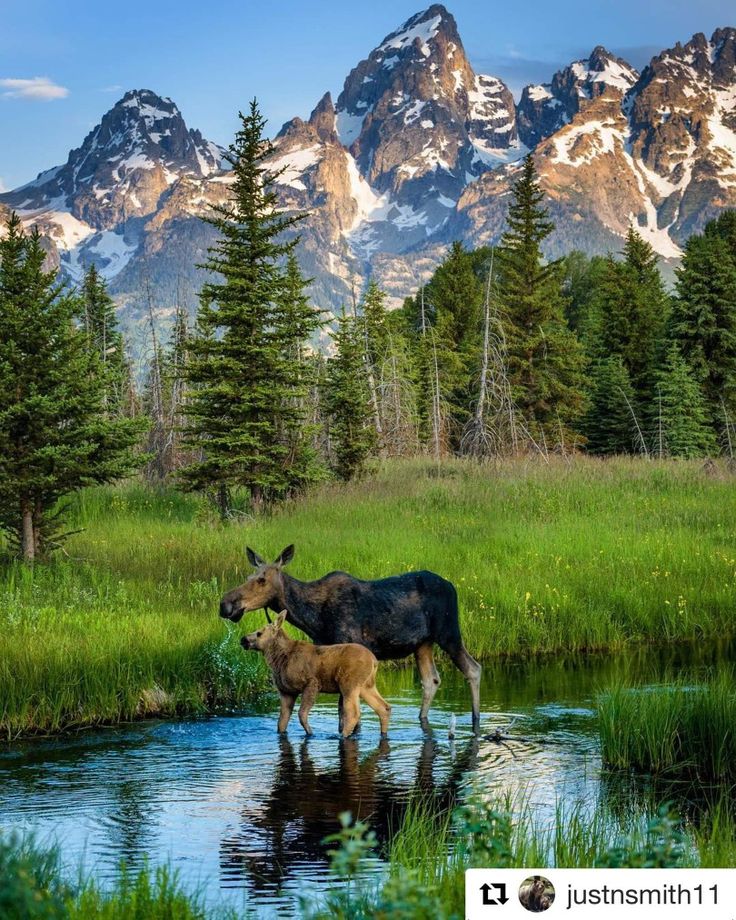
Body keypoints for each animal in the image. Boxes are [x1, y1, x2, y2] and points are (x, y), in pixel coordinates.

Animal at [242, 612, 392, 740]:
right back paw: (383, 734)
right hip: (366, 686)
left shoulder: (311, 683)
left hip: (349, 684)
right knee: (383, 707)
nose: (243, 639)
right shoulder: (286, 692)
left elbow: (301, 714)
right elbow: (281, 723)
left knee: (353, 713)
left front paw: (310, 733)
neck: (278, 660)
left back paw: (342, 736)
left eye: (259, 633)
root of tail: (374, 661)